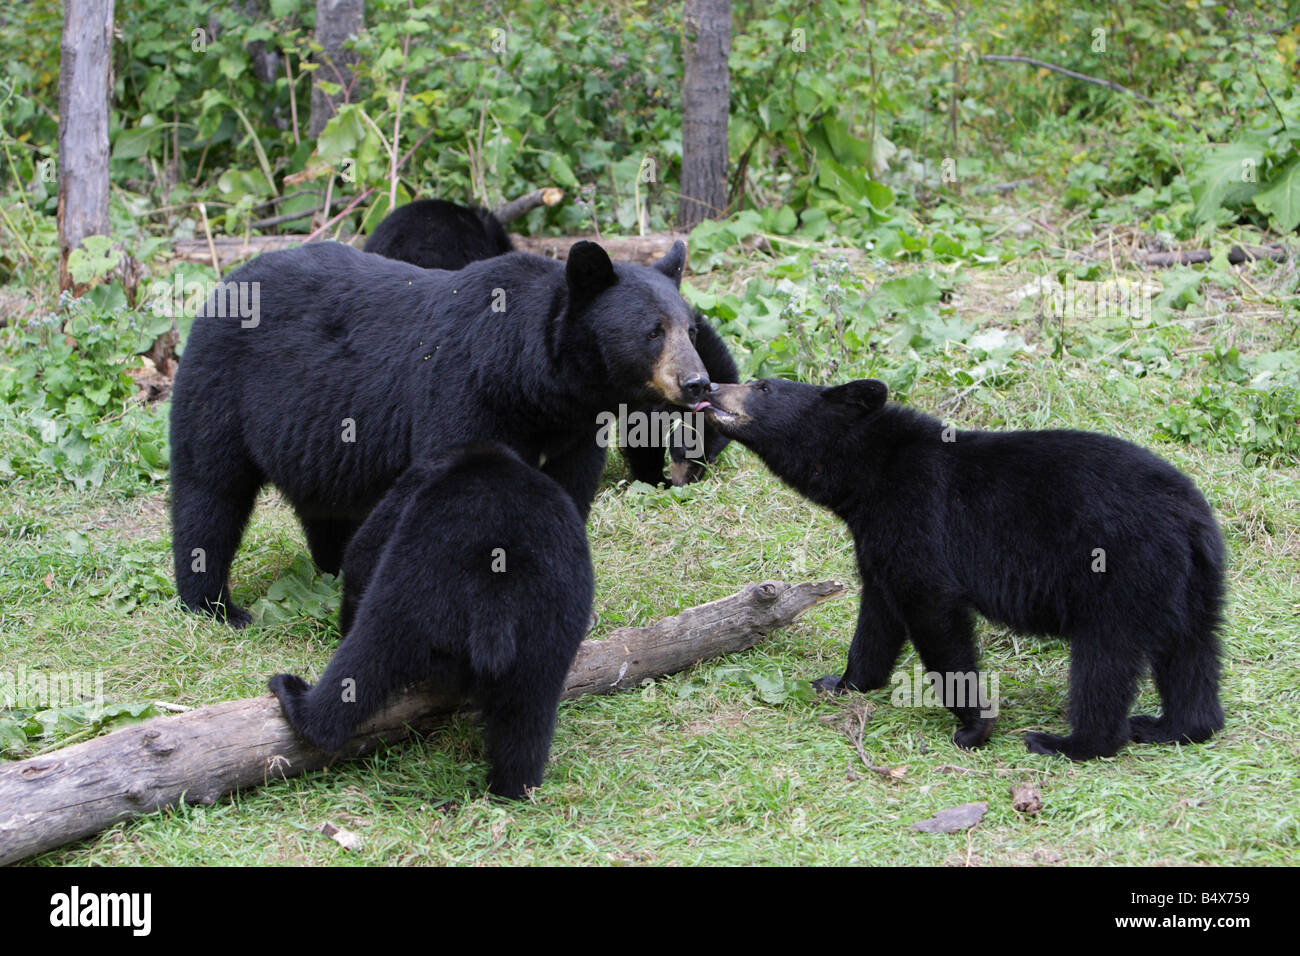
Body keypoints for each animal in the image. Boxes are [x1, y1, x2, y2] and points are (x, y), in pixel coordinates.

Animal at [170, 238, 708, 626]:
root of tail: (227, 282)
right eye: (652, 331)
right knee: (209, 493)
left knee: (321, 506)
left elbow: (568, 496)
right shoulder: (463, 394)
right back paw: (215, 605)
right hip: (222, 387)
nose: (697, 382)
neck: (534, 384)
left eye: (691, 329)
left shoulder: (574, 432)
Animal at [268, 442, 594, 799]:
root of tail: (496, 594)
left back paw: (297, 702)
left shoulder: (412, 486)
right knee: (528, 712)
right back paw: (512, 787)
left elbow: (362, 555)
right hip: (548, 628)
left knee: (368, 649)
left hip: (415, 587)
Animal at [702, 377, 1226, 760]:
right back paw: (1175, 727)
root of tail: (1189, 517)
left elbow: (932, 610)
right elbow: (878, 613)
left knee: (1106, 657)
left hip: (1122, 569)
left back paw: (1071, 742)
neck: (869, 474)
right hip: (1193, 581)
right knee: (1192, 650)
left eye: (763, 386)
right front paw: (844, 681)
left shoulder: (918, 516)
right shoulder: (878, 537)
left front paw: (975, 726)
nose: (707, 386)